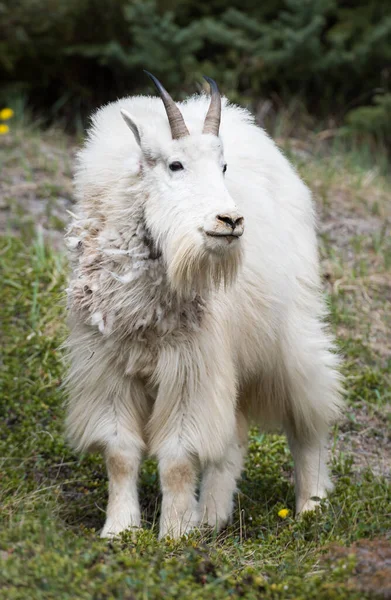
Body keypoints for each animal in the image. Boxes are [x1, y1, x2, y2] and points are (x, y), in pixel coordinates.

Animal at [65, 71, 344, 540]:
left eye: (223, 167)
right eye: (175, 165)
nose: (229, 221)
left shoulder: (191, 367)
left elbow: (178, 457)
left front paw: (174, 534)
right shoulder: (109, 367)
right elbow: (120, 451)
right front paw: (121, 530)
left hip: (289, 336)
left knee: (309, 415)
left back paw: (311, 505)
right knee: (234, 436)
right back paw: (213, 516)